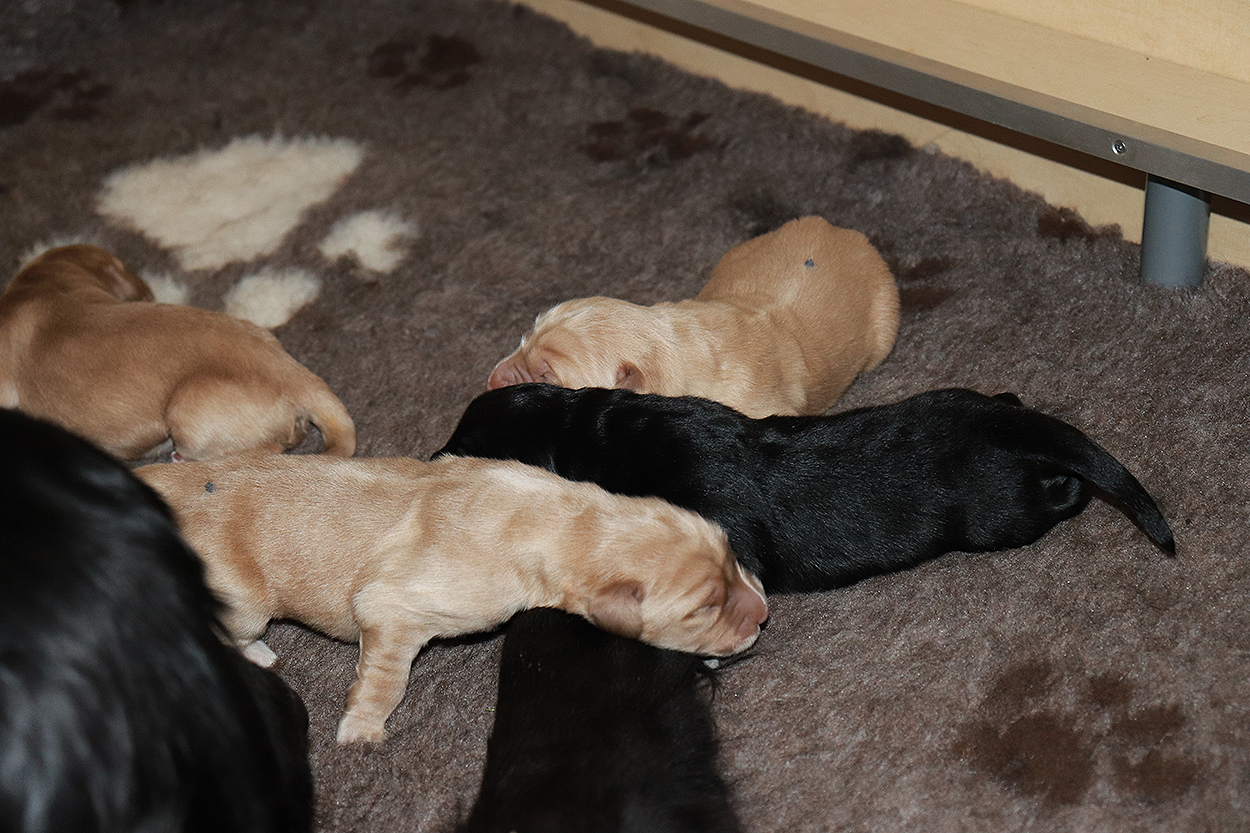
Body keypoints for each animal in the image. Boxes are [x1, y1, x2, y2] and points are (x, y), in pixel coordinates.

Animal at [135, 453, 768, 743]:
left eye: (732, 554)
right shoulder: (391, 609)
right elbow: (385, 680)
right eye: (702, 609)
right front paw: (363, 727)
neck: (564, 519)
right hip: (242, 600)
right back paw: (260, 651)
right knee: (230, 631)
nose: (764, 616)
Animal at [435, 384, 1176, 593]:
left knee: (1060, 495)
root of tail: (997, 421)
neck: (592, 430)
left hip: (1001, 512)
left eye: (466, 446)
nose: (430, 456)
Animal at [487, 217, 899, 417]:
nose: (491, 379)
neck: (672, 345)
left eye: (546, 375)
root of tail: (839, 230)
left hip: (886, 319)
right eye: (523, 338)